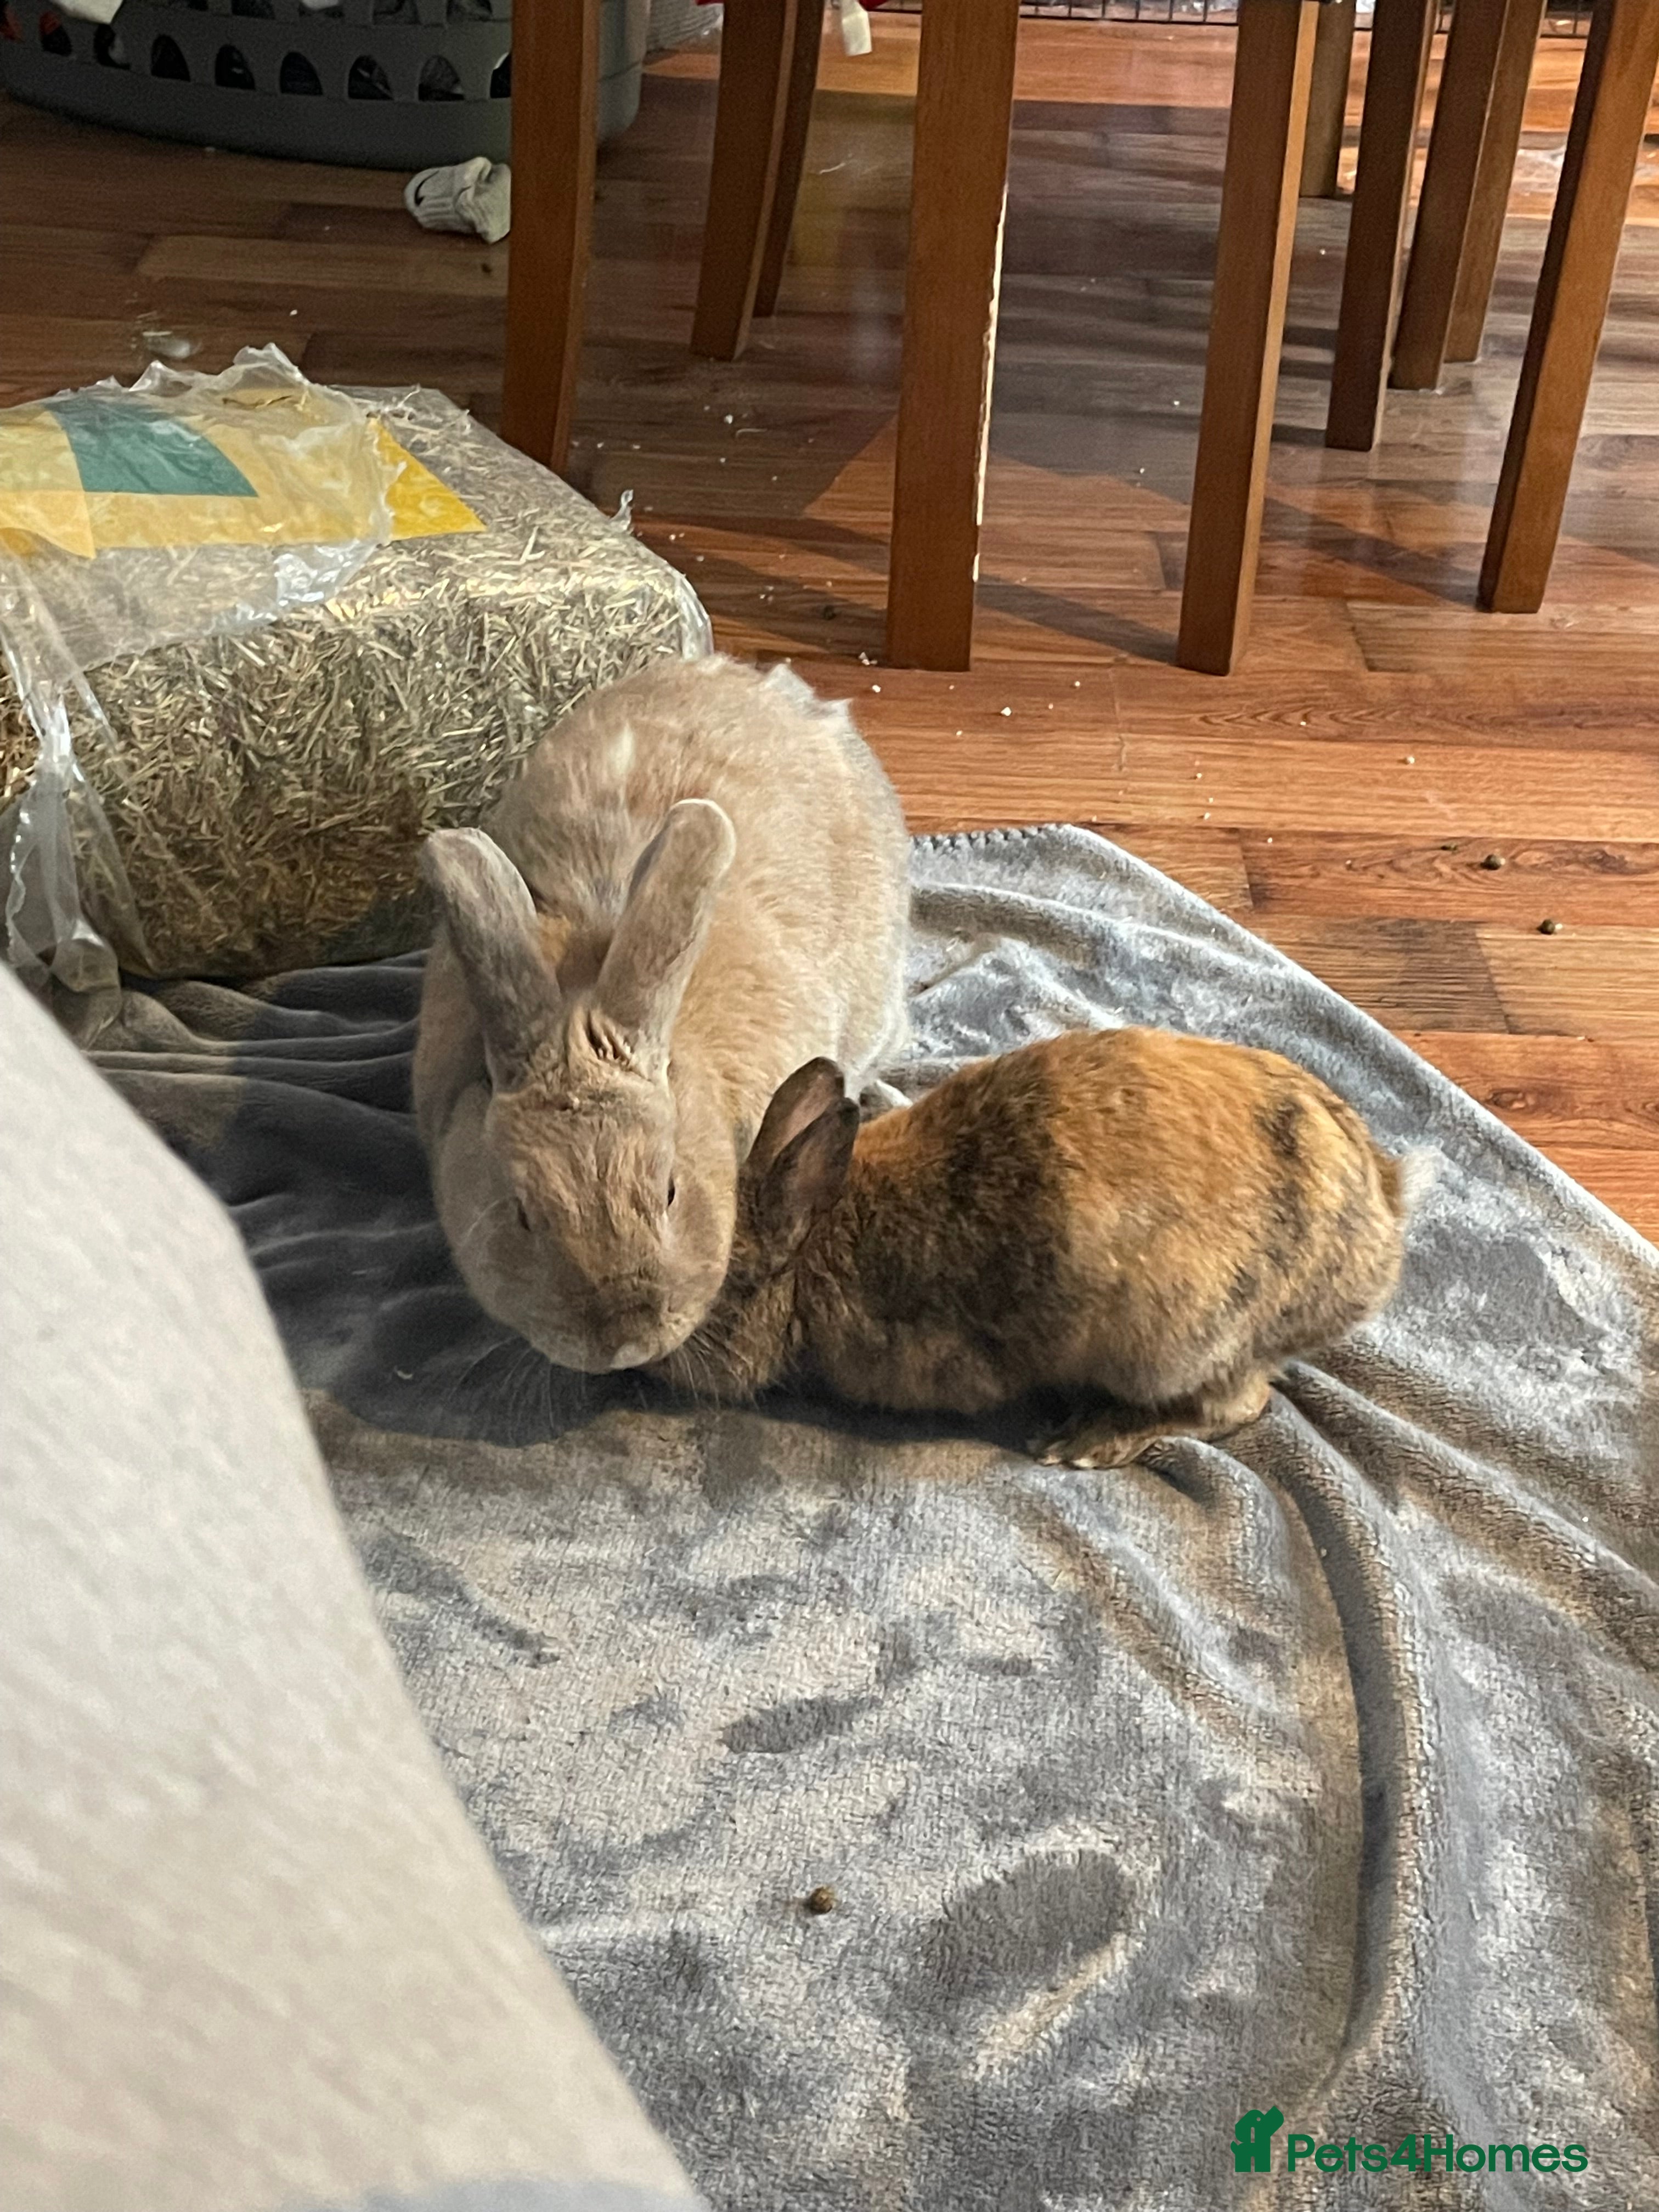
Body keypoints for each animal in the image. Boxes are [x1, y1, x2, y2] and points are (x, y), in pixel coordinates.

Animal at [655, 1025, 1428, 1466]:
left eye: (712, 1287)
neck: (812, 1248)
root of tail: (1384, 1215)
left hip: (1178, 1343)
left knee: (1241, 1406)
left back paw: (1087, 1442)